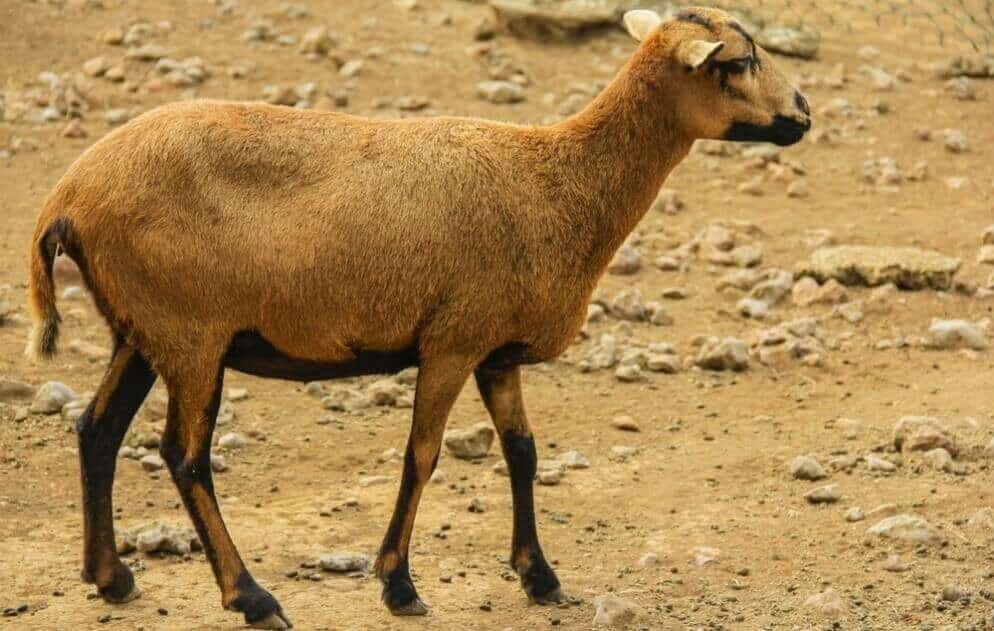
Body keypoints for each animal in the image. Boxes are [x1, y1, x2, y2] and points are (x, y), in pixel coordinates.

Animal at [25, 7, 810, 629]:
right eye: (738, 62)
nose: (803, 112)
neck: (559, 180)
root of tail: (66, 196)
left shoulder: (496, 351)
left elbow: (523, 453)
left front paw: (539, 576)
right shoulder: (452, 340)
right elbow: (422, 455)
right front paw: (398, 584)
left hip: (140, 329)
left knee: (97, 431)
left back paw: (113, 578)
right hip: (191, 335)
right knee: (184, 458)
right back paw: (252, 597)